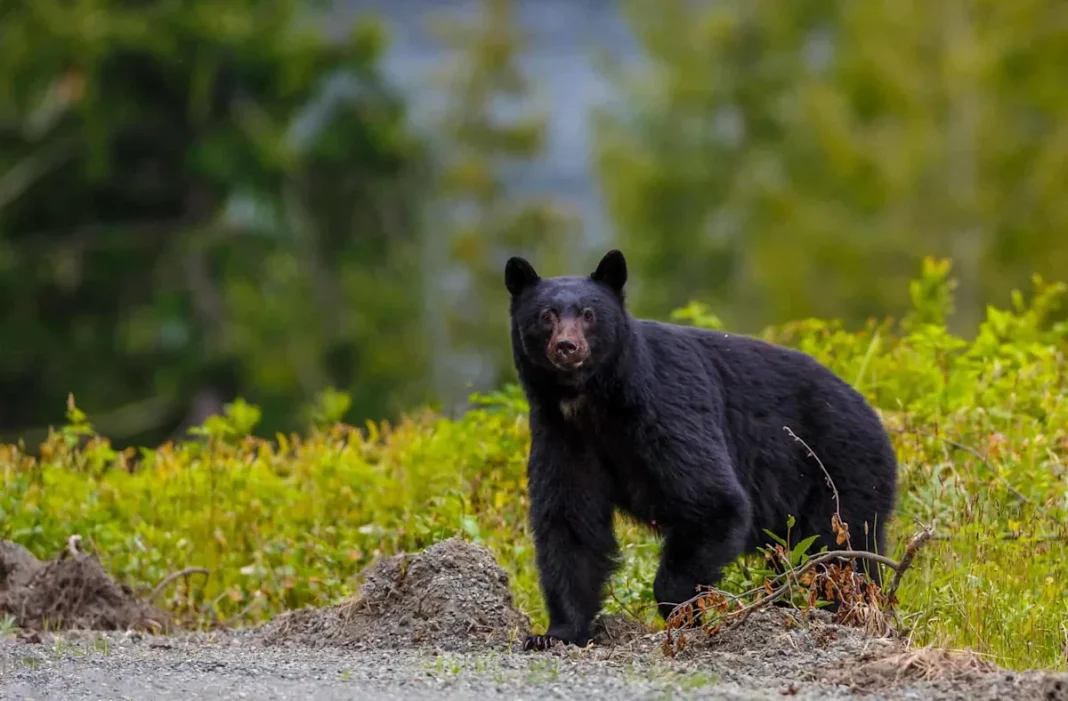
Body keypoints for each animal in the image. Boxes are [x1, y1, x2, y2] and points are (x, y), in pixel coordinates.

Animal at [504, 249, 899, 652]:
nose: (567, 347)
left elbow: (712, 500)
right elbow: (570, 523)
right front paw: (555, 633)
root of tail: (875, 416)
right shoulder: (563, 434)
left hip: (839, 472)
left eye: (589, 314)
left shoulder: (667, 408)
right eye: (546, 315)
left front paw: (682, 612)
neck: (594, 400)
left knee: (837, 551)